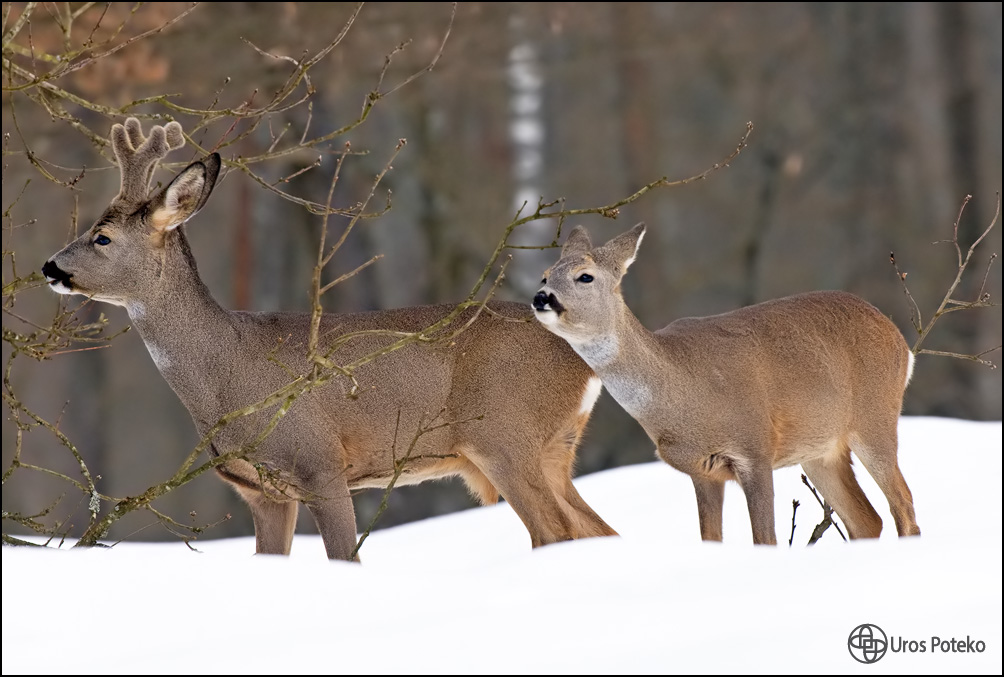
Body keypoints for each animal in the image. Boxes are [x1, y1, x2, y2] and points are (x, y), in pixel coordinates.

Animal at [39, 117, 614, 558]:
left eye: (102, 237)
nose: (49, 267)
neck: (228, 374)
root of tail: (584, 359)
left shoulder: (321, 465)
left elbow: (345, 558)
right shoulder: (261, 491)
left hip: (503, 433)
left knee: (556, 532)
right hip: (551, 448)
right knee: (597, 530)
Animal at [530, 222, 919, 542]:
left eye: (585, 276)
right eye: (545, 275)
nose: (541, 297)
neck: (683, 394)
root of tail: (899, 338)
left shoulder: (755, 449)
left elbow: (765, 539)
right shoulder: (702, 471)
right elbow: (710, 538)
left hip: (874, 416)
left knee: (903, 503)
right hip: (820, 450)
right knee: (868, 520)